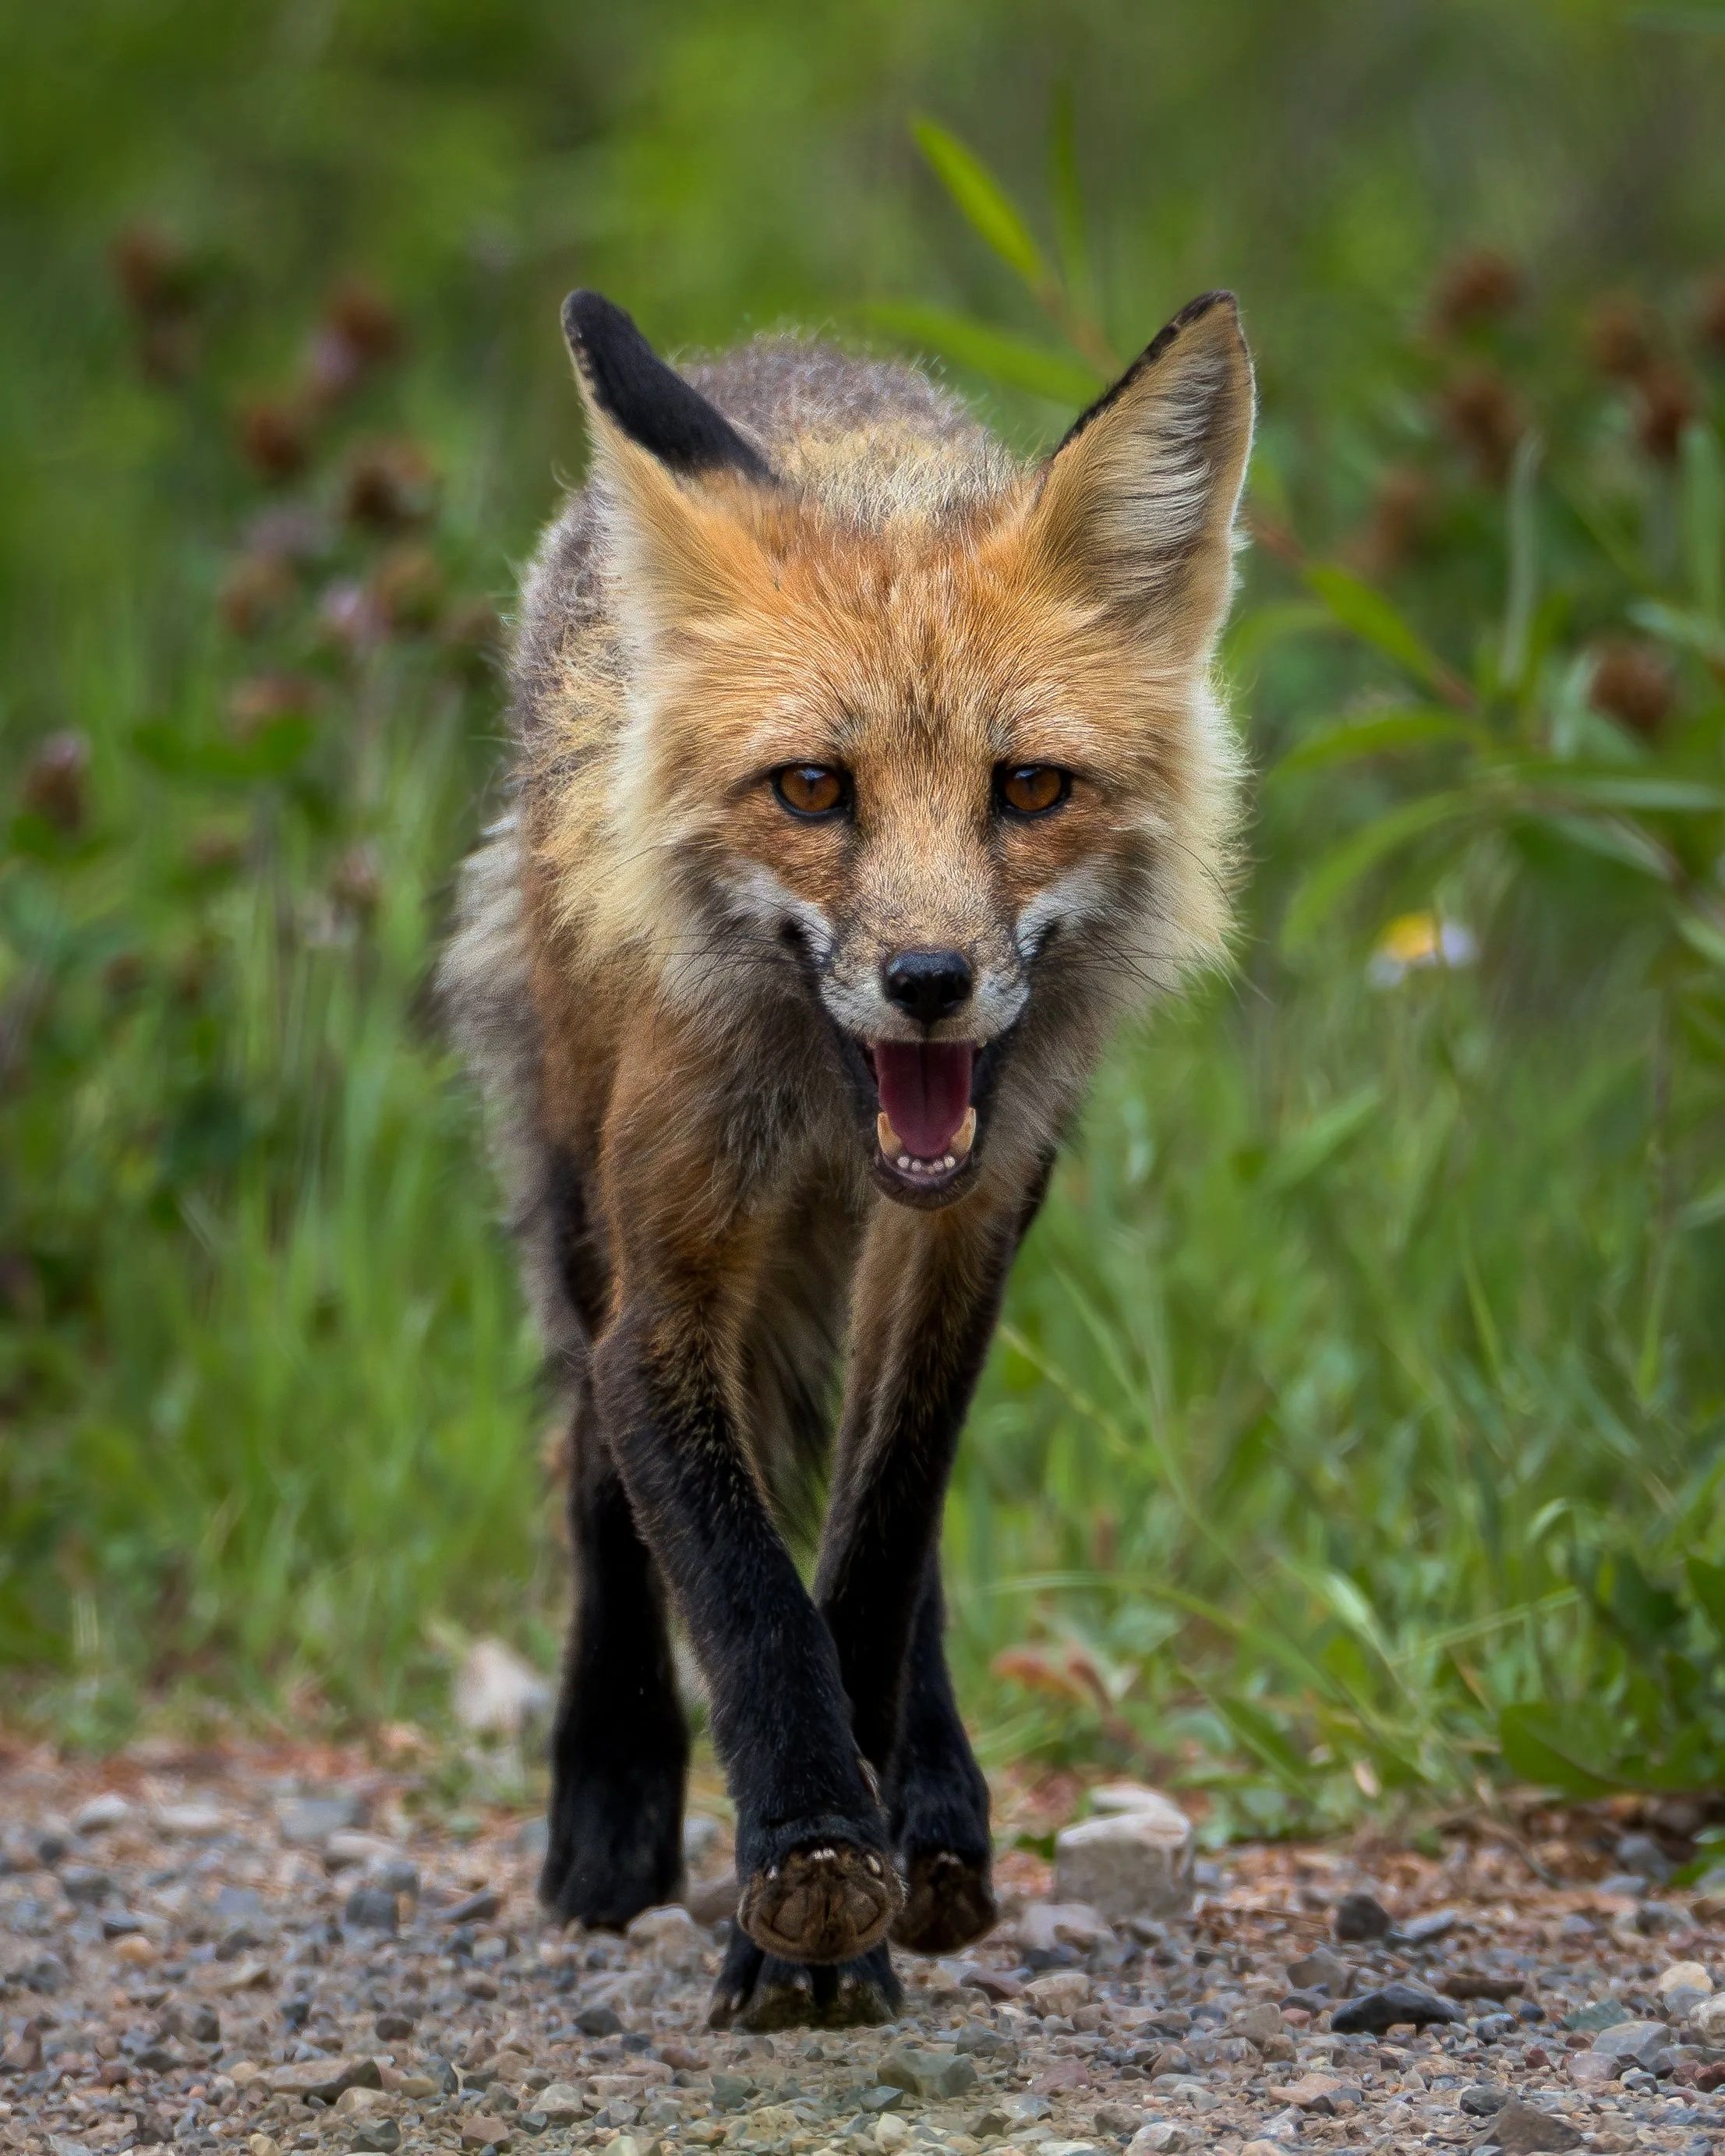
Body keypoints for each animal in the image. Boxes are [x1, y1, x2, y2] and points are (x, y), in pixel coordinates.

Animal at [441, 286, 1254, 2029]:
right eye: (813, 788)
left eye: (1029, 787)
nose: (928, 981)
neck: (827, 1118)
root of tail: (787, 351)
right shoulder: (666, 1284)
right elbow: (741, 1584)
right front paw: (804, 1866)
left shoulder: (962, 1242)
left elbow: (872, 1559)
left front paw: (855, 1856)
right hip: (574, 1185)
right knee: (596, 1485)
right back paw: (609, 1801)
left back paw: (935, 1801)